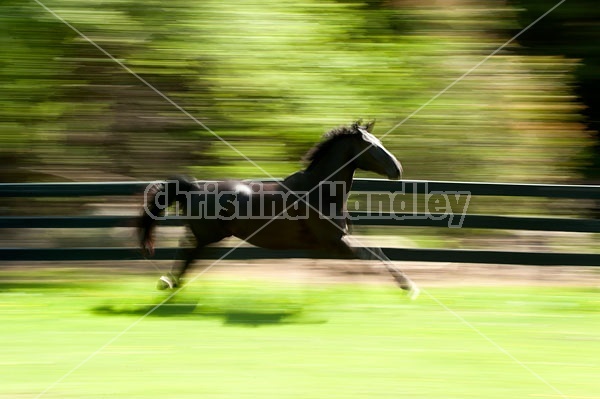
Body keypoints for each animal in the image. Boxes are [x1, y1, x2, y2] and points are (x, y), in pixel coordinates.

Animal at [140, 122, 420, 300]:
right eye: (371, 147)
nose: (398, 169)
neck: (320, 191)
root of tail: (195, 187)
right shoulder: (335, 242)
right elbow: (374, 253)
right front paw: (410, 287)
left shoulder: (331, 245)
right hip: (209, 234)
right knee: (187, 248)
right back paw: (168, 282)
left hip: (210, 236)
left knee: (190, 251)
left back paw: (173, 284)